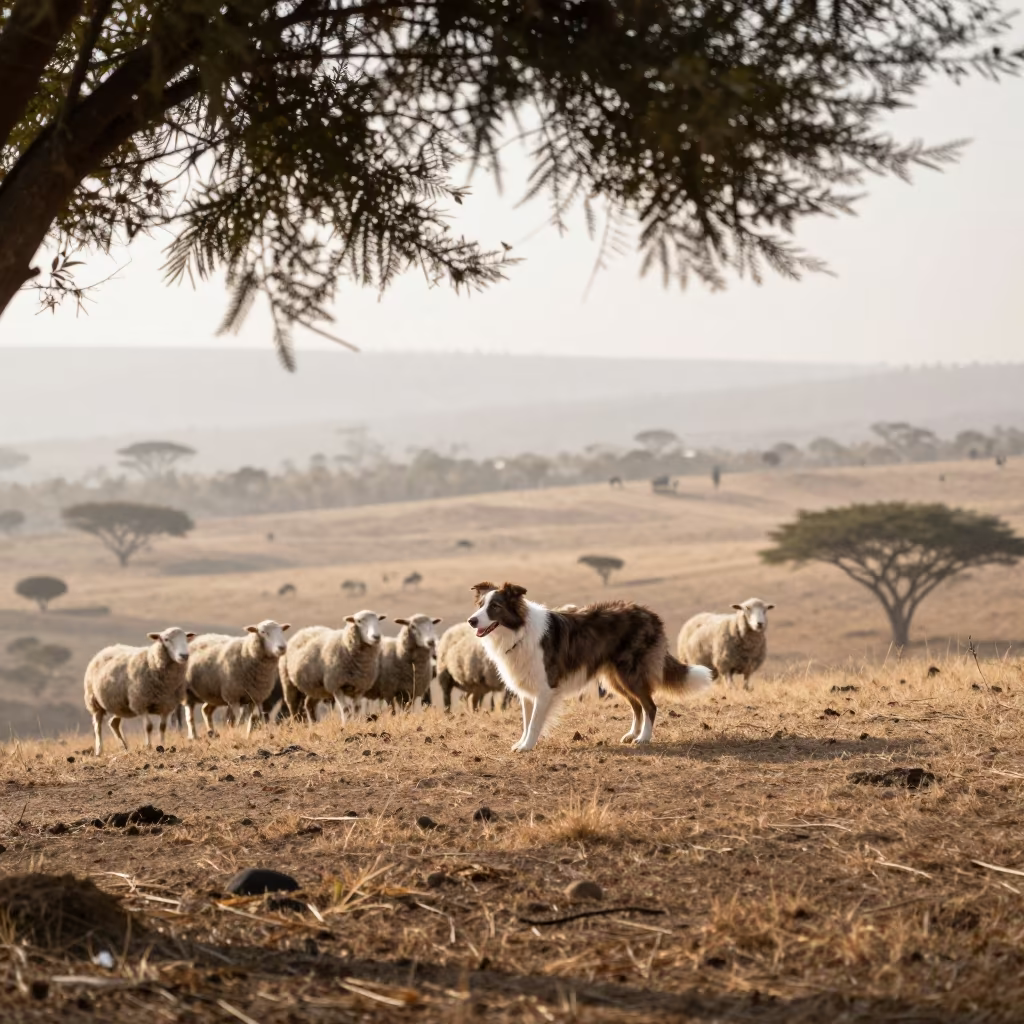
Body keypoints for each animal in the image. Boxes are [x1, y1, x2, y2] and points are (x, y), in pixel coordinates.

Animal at [83, 627, 195, 755]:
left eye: (186, 639)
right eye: (166, 639)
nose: (184, 655)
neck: (151, 662)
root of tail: (106, 649)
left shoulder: (166, 705)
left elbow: (162, 727)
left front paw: (162, 744)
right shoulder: (141, 703)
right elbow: (148, 726)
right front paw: (149, 746)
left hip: (120, 704)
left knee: (113, 723)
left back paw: (125, 747)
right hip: (94, 701)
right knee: (97, 726)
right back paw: (99, 750)